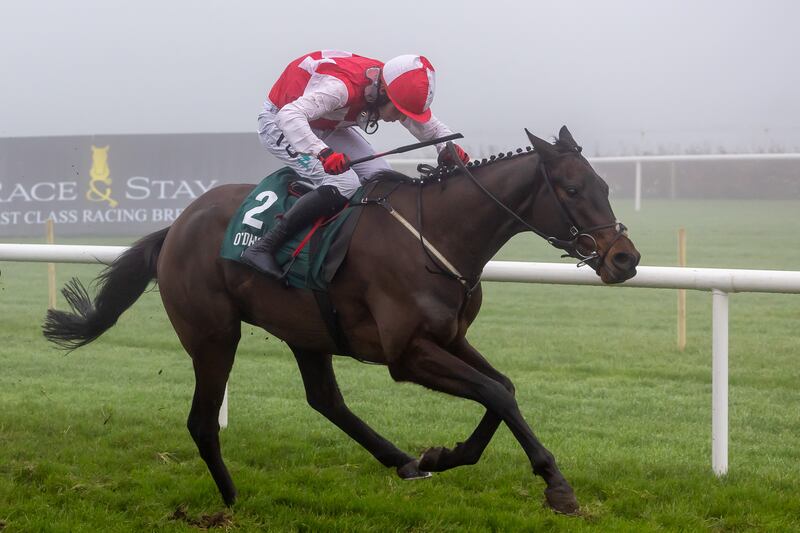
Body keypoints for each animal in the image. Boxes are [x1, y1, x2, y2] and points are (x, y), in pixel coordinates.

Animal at [45, 127, 644, 512]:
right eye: (572, 190)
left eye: (605, 186)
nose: (625, 259)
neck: (437, 235)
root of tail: (176, 225)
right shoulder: (407, 354)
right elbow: (495, 393)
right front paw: (555, 485)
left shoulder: (449, 337)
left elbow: (503, 389)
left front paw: (444, 454)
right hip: (214, 335)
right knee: (202, 420)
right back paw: (231, 499)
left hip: (305, 329)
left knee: (325, 400)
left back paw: (401, 459)